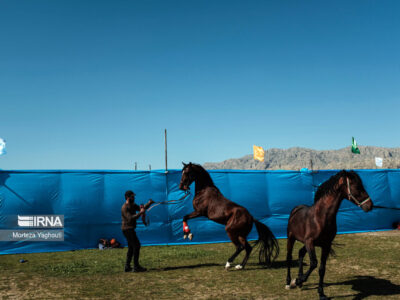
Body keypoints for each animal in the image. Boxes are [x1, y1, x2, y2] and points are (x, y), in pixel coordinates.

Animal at [286, 170, 374, 298]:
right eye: (357, 187)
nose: (370, 205)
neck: (321, 217)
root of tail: (296, 209)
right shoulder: (310, 242)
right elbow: (314, 263)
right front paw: (297, 281)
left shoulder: (325, 245)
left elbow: (322, 269)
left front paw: (321, 293)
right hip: (291, 238)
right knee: (289, 257)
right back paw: (289, 282)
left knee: (301, 253)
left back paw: (299, 280)